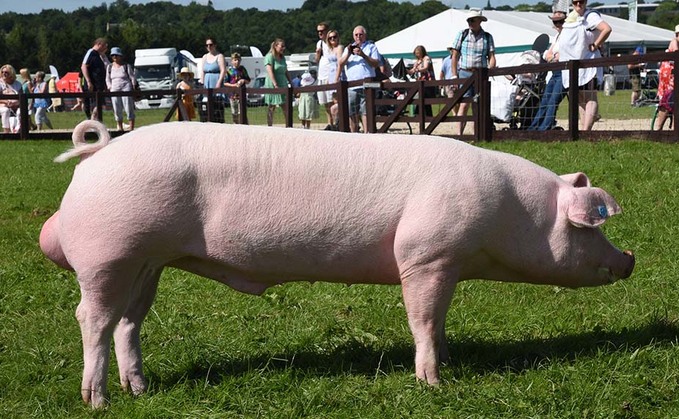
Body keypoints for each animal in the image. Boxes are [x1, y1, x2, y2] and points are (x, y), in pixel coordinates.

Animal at [42, 120, 636, 408]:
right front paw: (433, 384)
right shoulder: (425, 253)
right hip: (110, 253)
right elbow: (422, 318)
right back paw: (97, 402)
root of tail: (97, 154)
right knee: (91, 319)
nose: (629, 259)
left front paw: (449, 359)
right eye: (591, 226)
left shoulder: (444, 263)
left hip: (149, 262)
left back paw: (140, 391)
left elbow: (439, 320)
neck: (510, 214)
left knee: (129, 322)